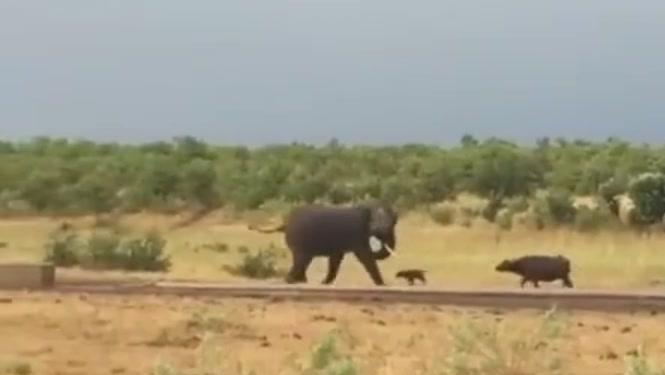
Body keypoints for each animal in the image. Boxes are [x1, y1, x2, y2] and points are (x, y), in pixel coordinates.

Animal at [246, 204, 396, 286]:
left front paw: (324, 283)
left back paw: (299, 281)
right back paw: (292, 281)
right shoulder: (357, 234)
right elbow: (365, 256)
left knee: (302, 260)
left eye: (394, 222)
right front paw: (382, 285)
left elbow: (335, 260)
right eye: (376, 223)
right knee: (301, 260)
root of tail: (286, 223)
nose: (378, 234)